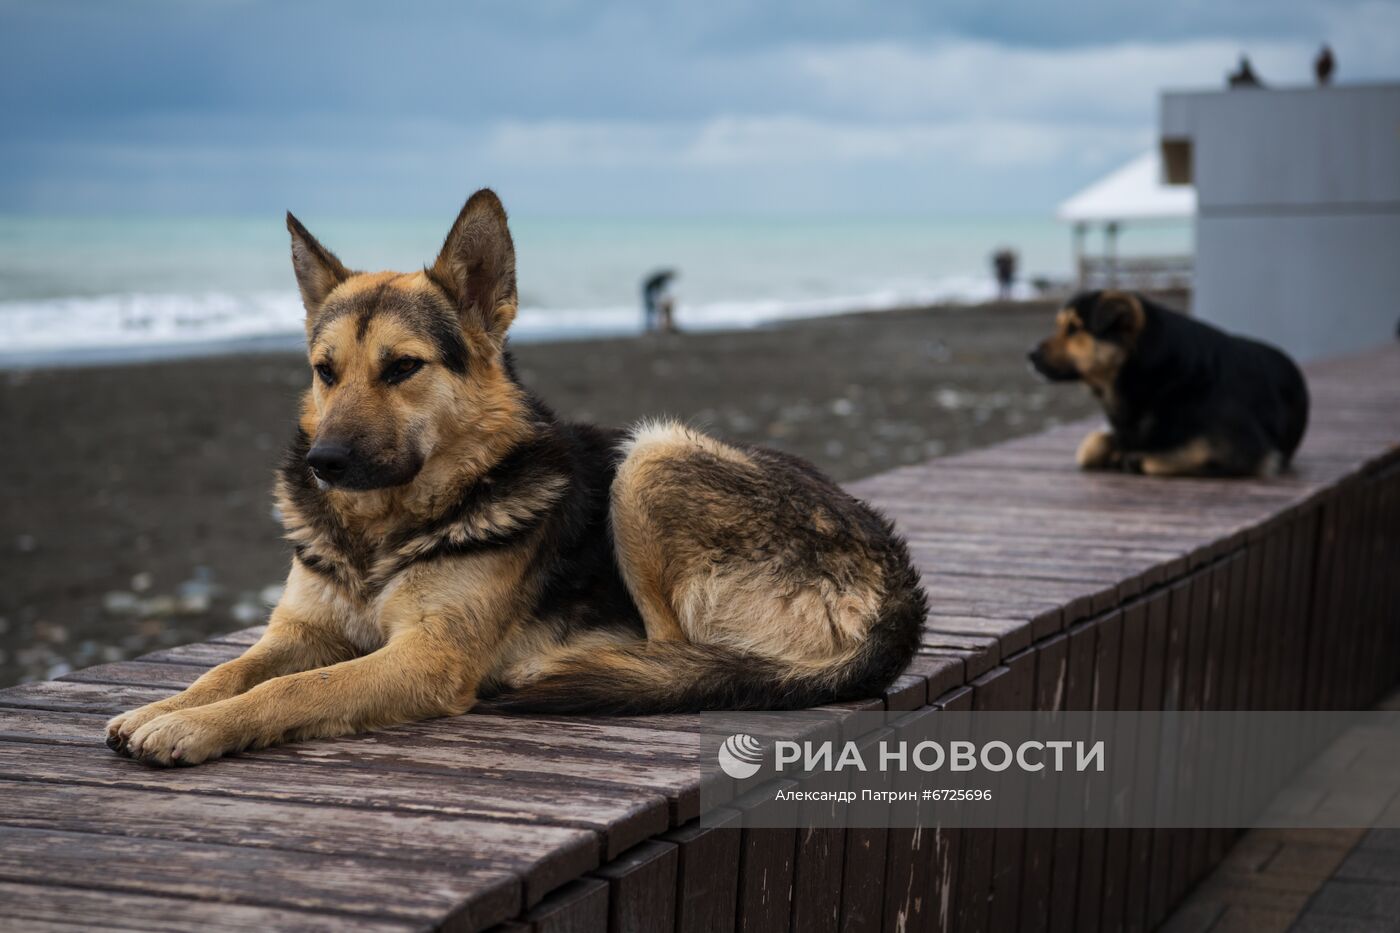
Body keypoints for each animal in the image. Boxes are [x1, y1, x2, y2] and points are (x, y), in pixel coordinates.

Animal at [103, 187, 924, 762]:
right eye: (324, 371)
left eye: (402, 368)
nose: (323, 464)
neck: (383, 530)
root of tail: (899, 578)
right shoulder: (301, 629)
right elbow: (232, 670)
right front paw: (164, 707)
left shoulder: (427, 656)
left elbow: (297, 686)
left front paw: (194, 727)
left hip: (650, 459)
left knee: (674, 650)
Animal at [1024, 288, 1304, 479]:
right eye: (1062, 327)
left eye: (1074, 329)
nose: (1030, 354)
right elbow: (1091, 444)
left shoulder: (1248, 447)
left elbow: (1179, 453)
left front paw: (1131, 458)